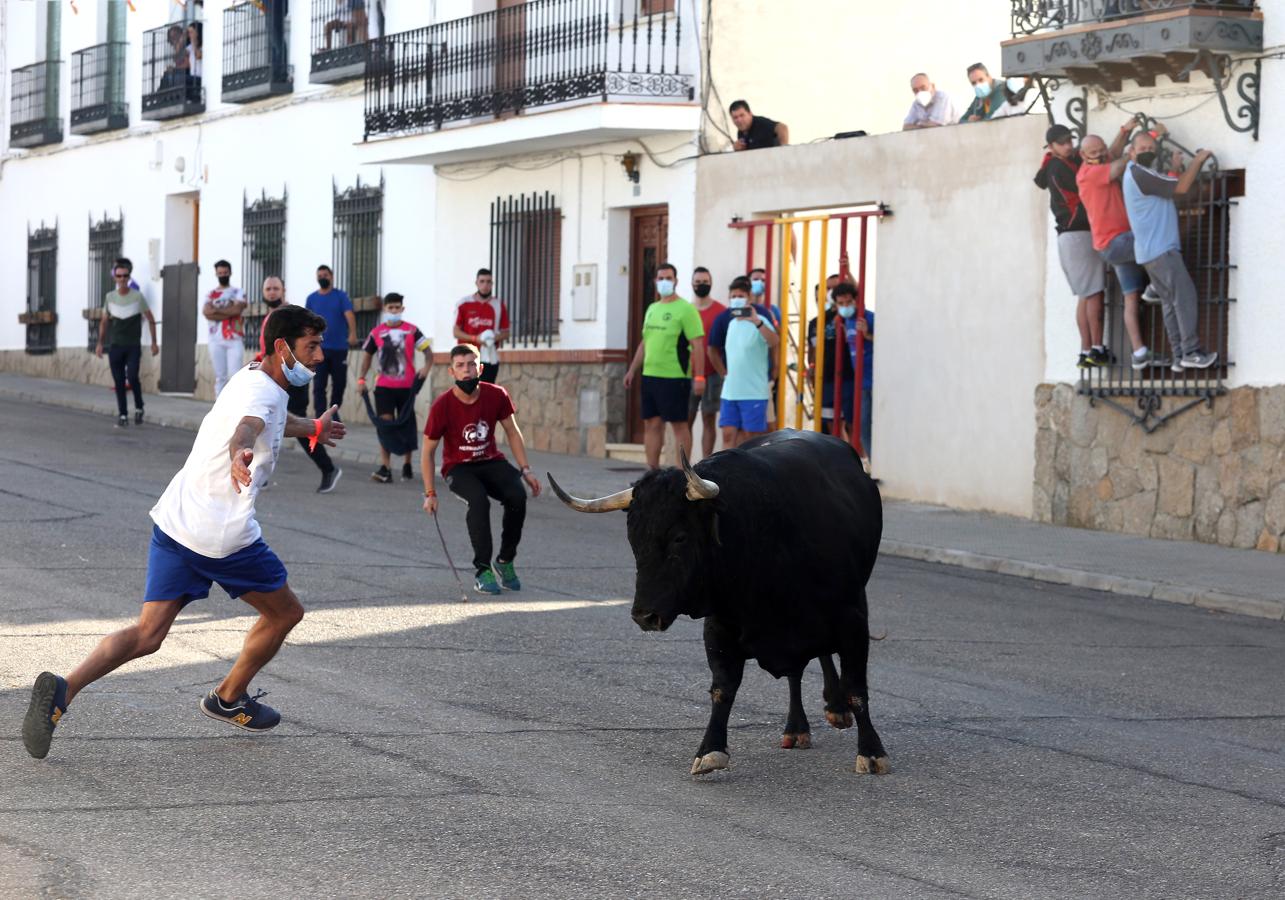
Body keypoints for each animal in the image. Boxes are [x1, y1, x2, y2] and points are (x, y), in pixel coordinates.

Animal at [547, 426, 889, 771]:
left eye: (679, 538)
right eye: (633, 539)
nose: (644, 616)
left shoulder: (852, 619)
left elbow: (857, 688)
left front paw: (871, 751)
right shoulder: (720, 625)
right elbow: (723, 689)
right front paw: (710, 749)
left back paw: (835, 708)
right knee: (797, 673)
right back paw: (796, 727)